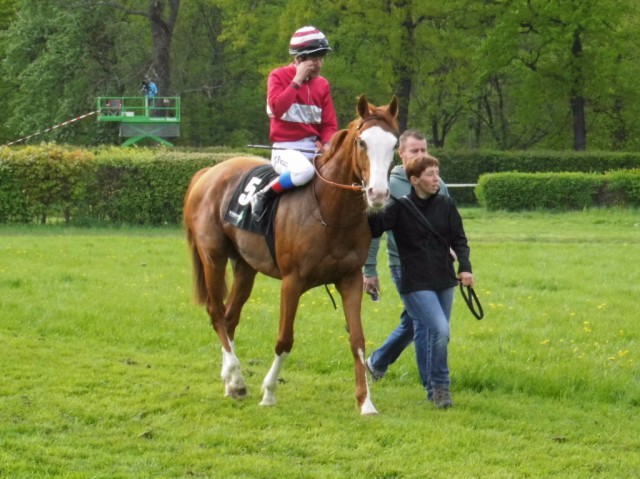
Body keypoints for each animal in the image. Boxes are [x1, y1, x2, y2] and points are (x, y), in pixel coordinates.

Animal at [182, 94, 398, 416]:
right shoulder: (292, 282)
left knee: (230, 317)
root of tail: (207, 173)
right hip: (213, 257)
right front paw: (269, 392)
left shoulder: (350, 280)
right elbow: (284, 338)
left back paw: (231, 382)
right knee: (216, 312)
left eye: (394, 144)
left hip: (245, 266)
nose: (379, 194)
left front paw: (366, 401)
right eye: (362, 142)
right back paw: (236, 377)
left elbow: (357, 339)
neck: (329, 211)